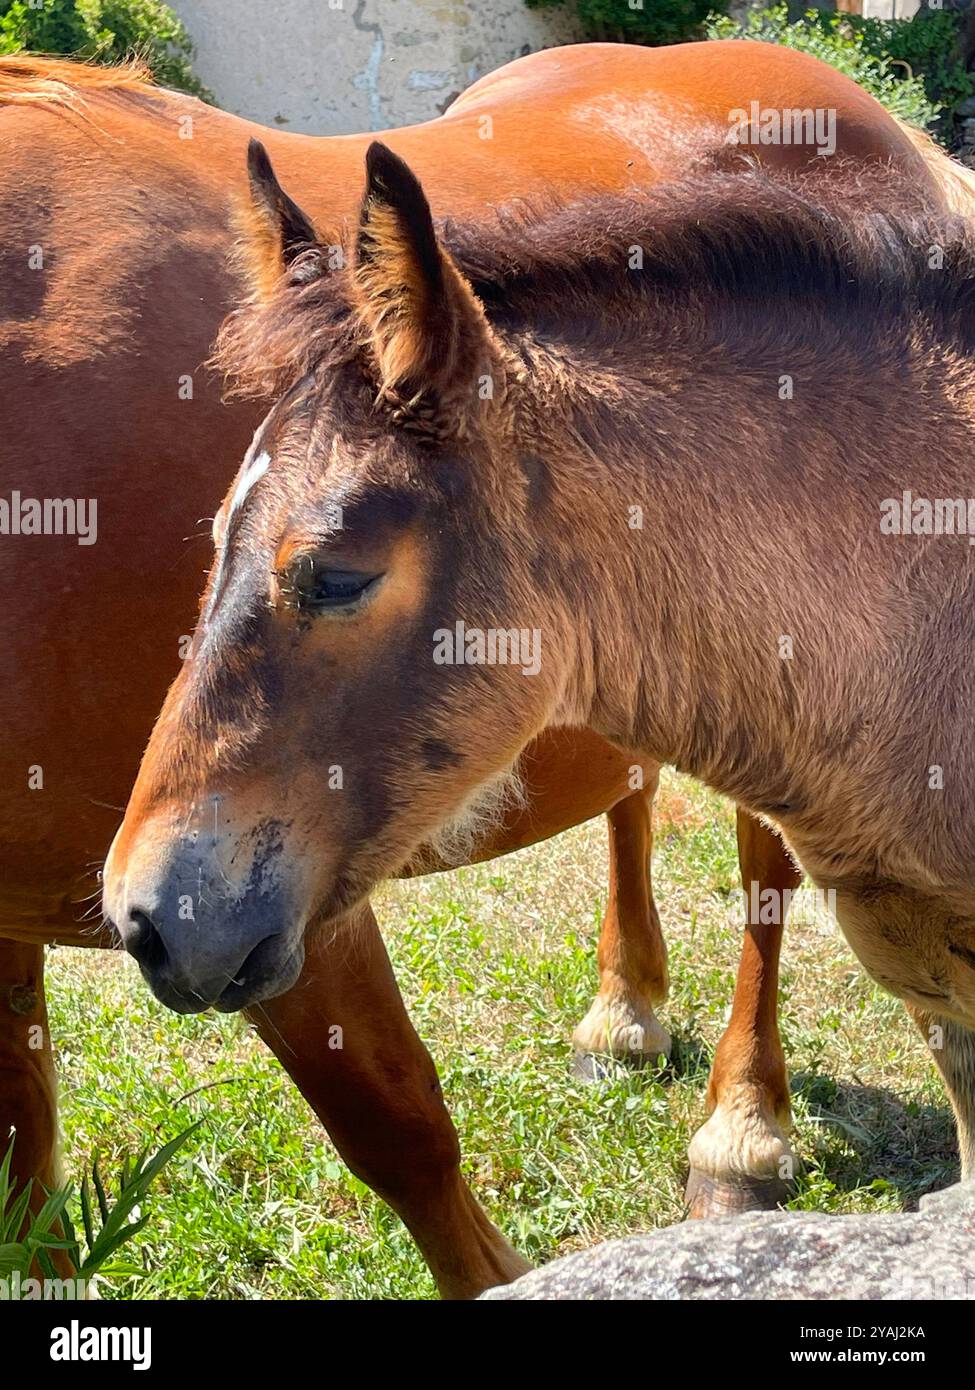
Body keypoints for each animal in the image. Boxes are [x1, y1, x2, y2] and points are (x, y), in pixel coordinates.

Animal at [1, 43, 968, 1295]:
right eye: (208, 541)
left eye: (340, 573)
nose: (146, 917)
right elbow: (28, 1191)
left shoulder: (290, 895)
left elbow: (402, 1134)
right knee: (631, 792)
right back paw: (625, 1014)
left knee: (763, 875)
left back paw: (742, 1132)